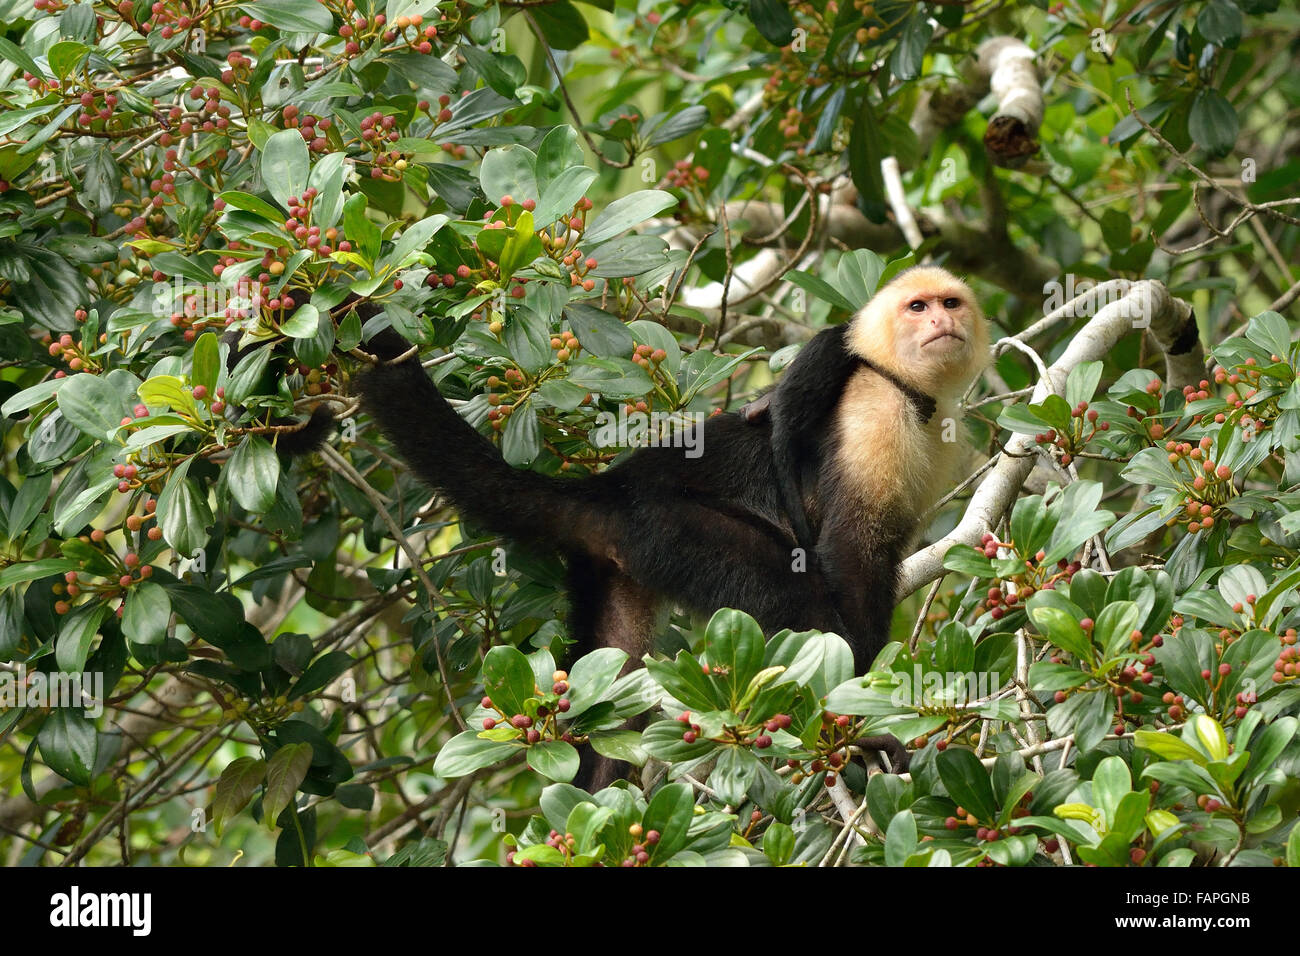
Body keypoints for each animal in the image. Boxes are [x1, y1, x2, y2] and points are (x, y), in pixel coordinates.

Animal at [356, 265, 982, 681]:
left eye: (951, 303)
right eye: (918, 308)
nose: (942, 321)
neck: (909, 388)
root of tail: (609, 490)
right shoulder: (874, 408)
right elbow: (849, 552)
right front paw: (872, 676)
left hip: (619, 570)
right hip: (670, 529)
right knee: (793, 592)